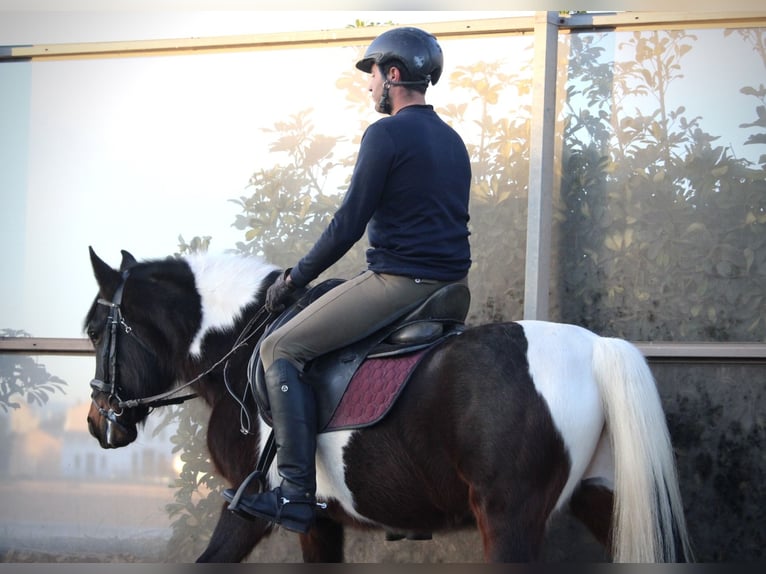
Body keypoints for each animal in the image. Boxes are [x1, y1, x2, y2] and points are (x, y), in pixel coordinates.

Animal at [84, 246, 696, 564]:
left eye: (93, 330)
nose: (96, 423)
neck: (242, 344)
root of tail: (595, 348)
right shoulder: (321, 522)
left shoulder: (248, 507)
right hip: (603, 497)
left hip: (510, 518)